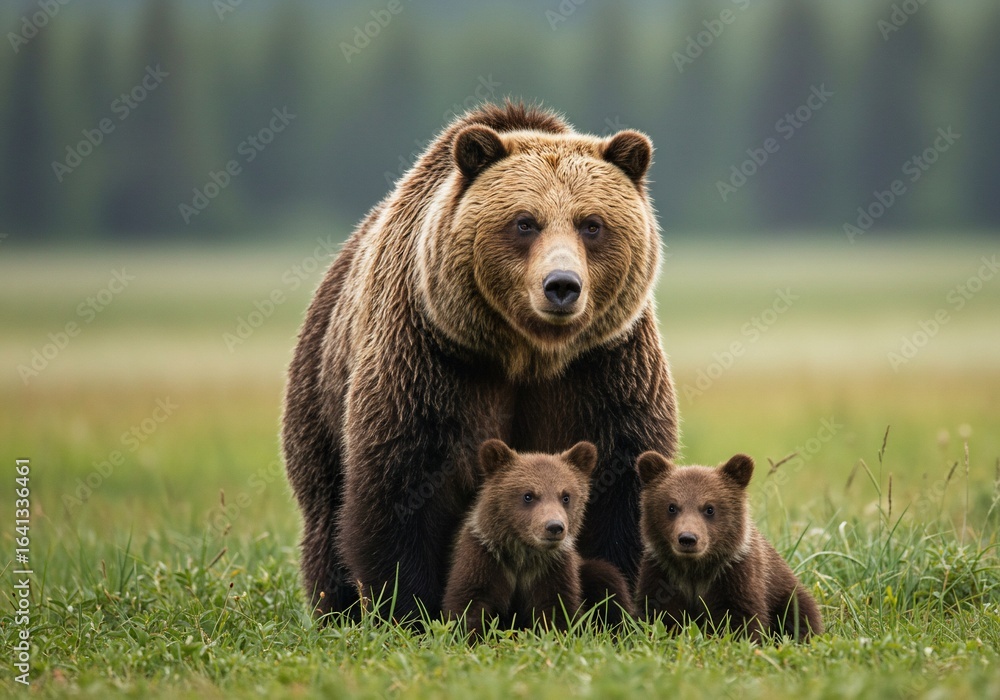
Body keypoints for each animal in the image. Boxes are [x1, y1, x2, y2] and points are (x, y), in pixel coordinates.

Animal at [443, 439, 634, 638]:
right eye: (528, 495)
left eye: (566, 496)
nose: (554, 527)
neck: (523, 556)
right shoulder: (484, 557)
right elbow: (470, 604)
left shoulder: (553, 569)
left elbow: (556, 609)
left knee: (608, 579)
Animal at [634, 452, 823, 642]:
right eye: (671, 507)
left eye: (709, 508)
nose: (688, 538)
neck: (695, 569)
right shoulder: (662, 573)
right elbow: (658, 614)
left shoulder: (735, 574)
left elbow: (741, 617)